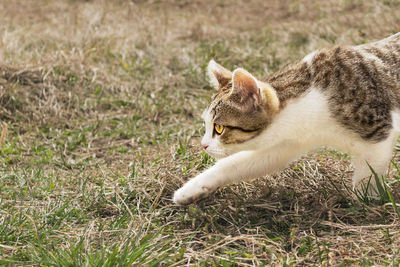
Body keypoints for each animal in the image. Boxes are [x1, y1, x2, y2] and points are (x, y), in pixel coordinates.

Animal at [173, 33, 400, 205]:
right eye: (206, 125)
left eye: (219, 128)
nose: (203, 145)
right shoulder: (287, 142)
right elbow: (234, 164)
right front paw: (192, 188)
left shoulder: (377, 132)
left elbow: (368, 173)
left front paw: (366, 202)